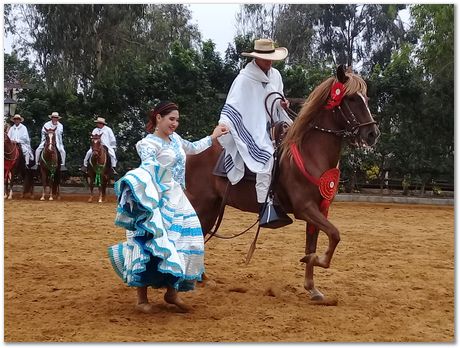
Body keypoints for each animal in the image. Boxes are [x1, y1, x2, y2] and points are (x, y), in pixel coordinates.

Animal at [185, 65, 380, 302]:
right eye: (351, 98)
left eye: (366, 98)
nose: (372, 133)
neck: (311, 154)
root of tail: (191, 151)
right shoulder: (305, 208)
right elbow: (334, 234)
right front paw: (314, 261)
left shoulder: (320, 209)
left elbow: (314, 243)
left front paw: (312, 286)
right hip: (201, 204)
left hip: (212, 207)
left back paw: (202, 278)